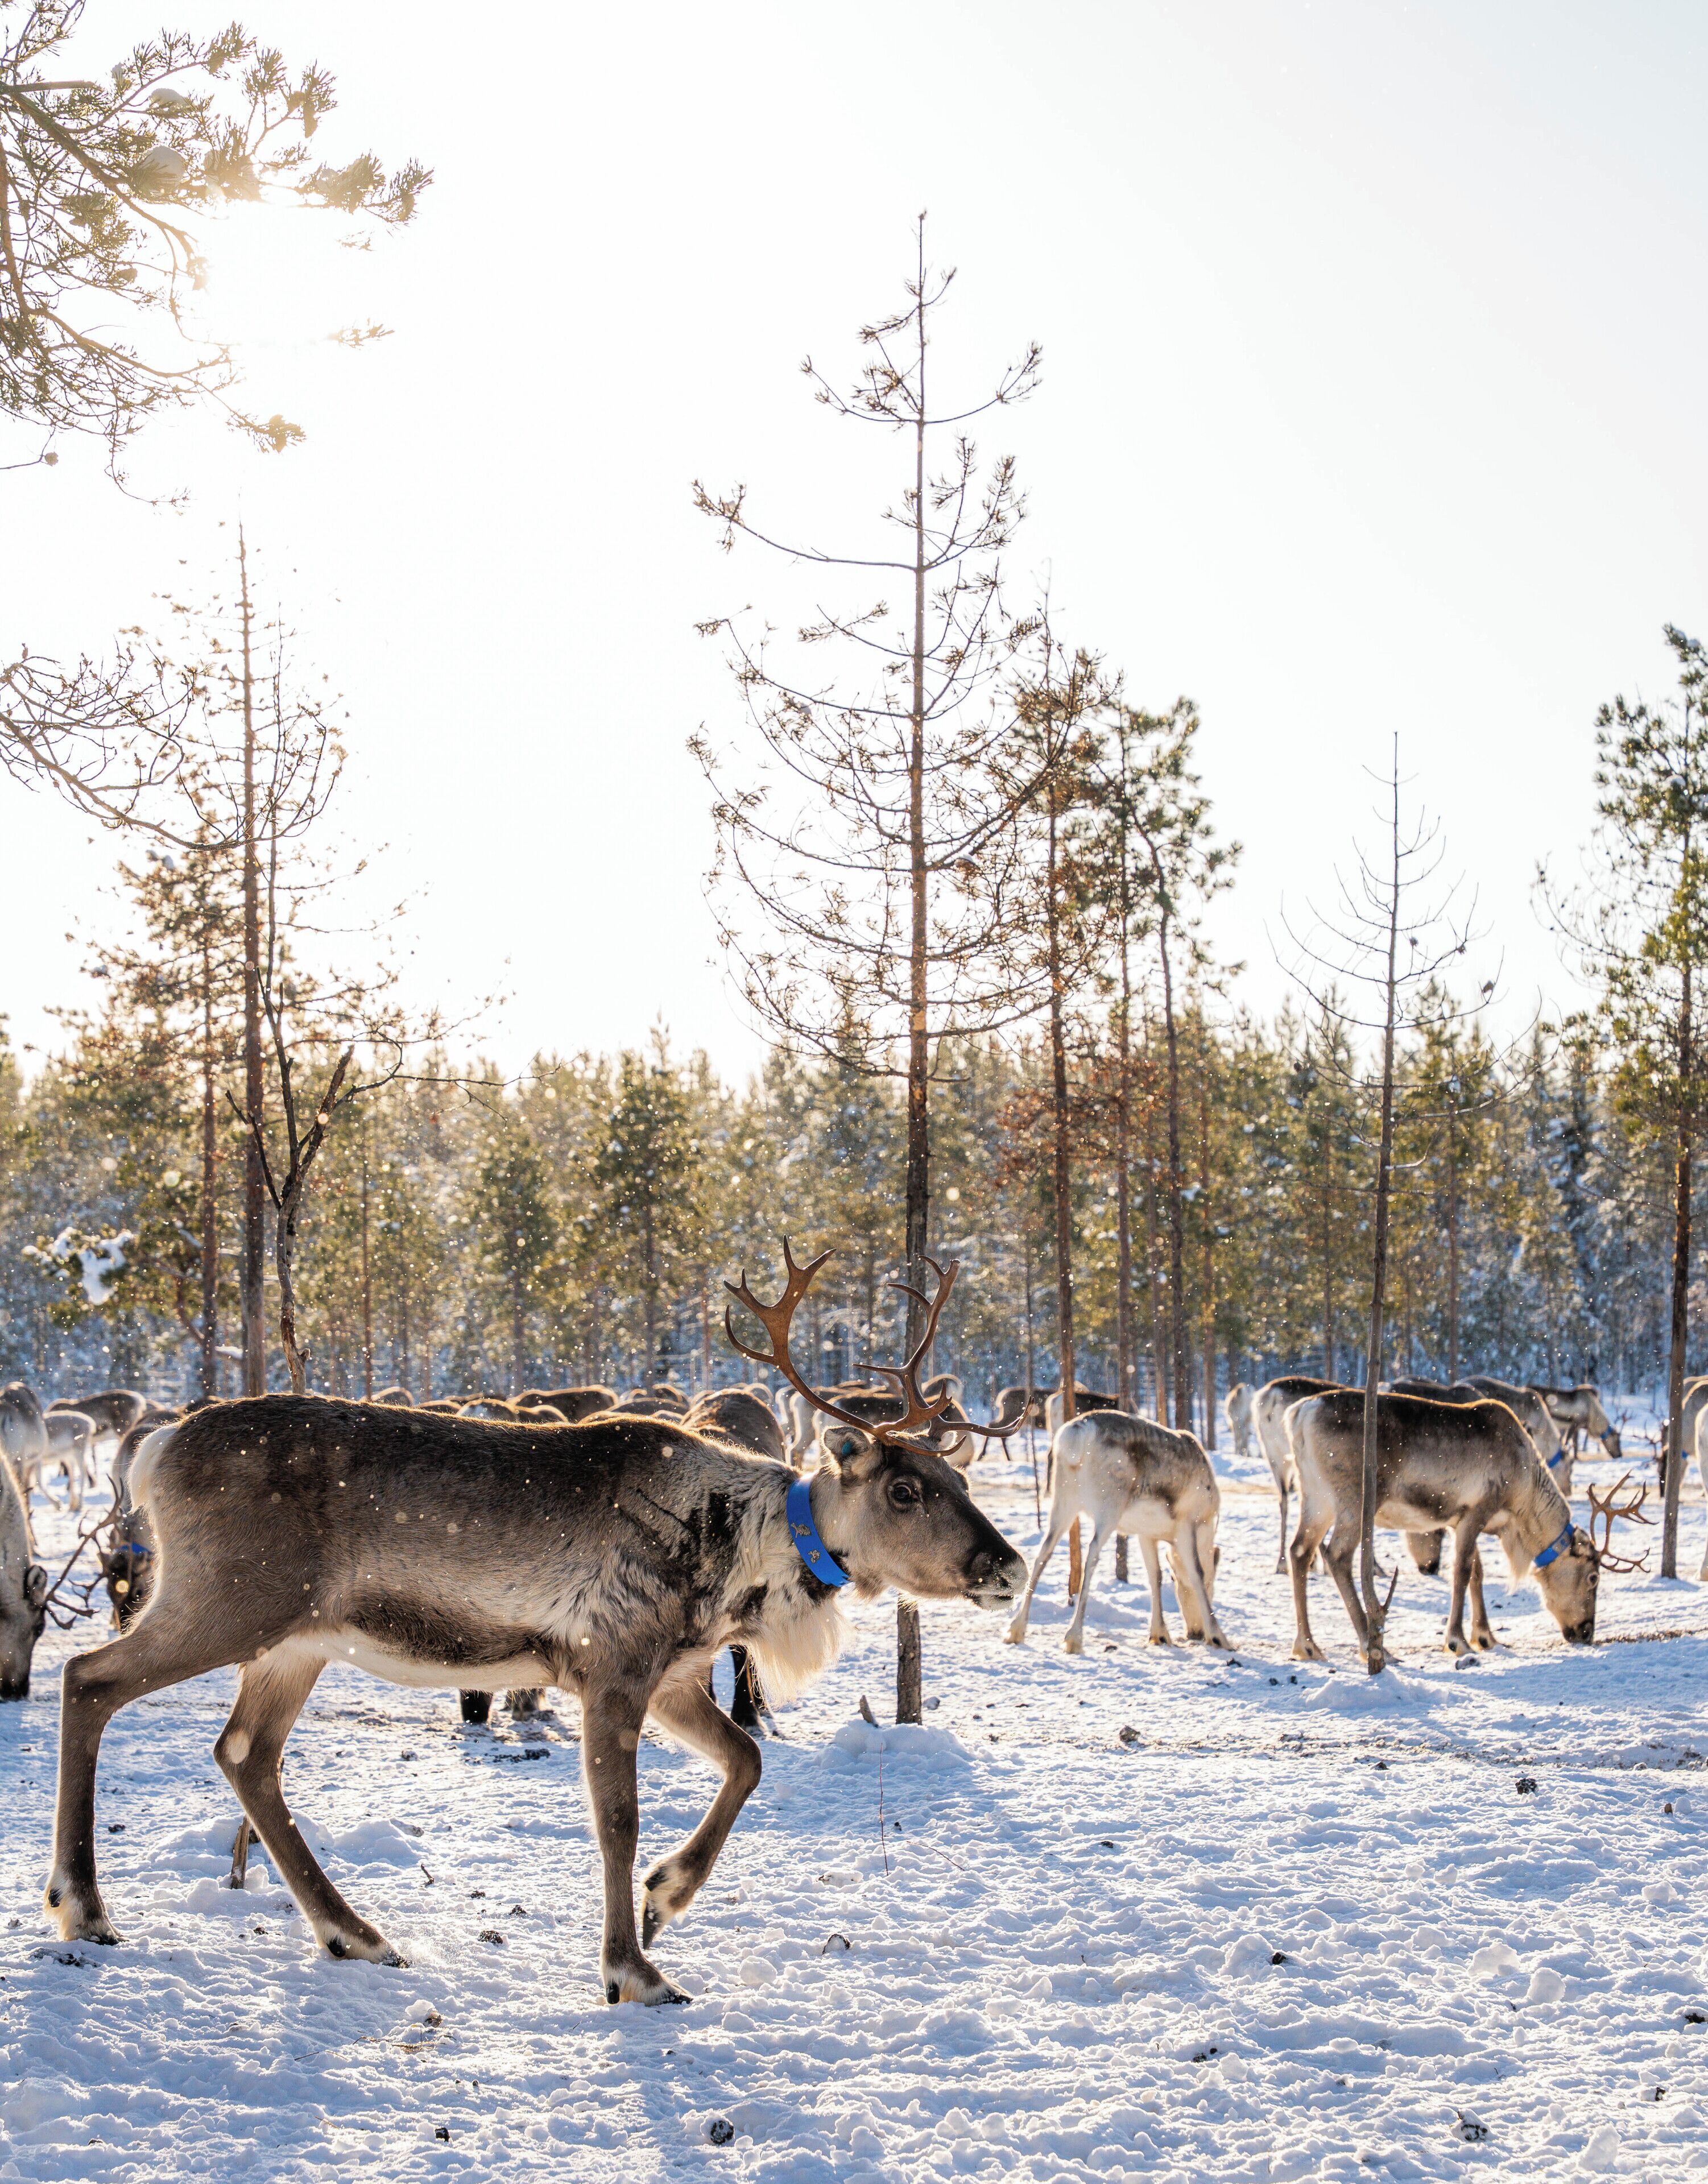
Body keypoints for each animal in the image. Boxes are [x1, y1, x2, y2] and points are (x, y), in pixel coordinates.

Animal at [45, 1245, 1026, 2008]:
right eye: (904, 1489)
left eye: (959, 1479)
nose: (1008, 1567)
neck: (739, 1557)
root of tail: (155, 1447)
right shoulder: (612, 1667)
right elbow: (618, 1819)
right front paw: (633, 1971)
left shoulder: (673, 1675)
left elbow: (747, 1760)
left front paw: (666, 1898)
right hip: (227, 1603)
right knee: (89, 1679)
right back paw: (83, 1908)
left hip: (295, 1643)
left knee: (244, 1752)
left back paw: (354, 1933)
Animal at [1006, 1410, 1228, 1654]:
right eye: (1212, 1584)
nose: (1195, 1633)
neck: (1207, 1522)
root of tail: (1077, 1434)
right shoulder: (1186, 1524)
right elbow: (1196, 1572)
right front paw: (1219, 1637)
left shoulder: (1146, 1533)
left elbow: (1155, 1575)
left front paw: (1159, 1635)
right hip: (1110, 1505)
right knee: (1092, 1555)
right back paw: (1074, 1637)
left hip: (1064, 1499)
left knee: (1044, 1551)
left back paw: (1016, 1630)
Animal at [1285, 1389, 1641, 1663]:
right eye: (1594, 1577)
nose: (1586, 1632)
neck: (1522, 1500)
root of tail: (1301, 1414)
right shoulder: (1476, 1511)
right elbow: (1462, 1571)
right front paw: (1457, 1641)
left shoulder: (1460, 1520)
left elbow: (1477, 1574)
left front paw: (1487, 1637)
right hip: (1355, 1501)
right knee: (1337, 1556)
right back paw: (1373, 1647)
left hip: (1315, 1498)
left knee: (1300, 1551)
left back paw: (1307, 1646)